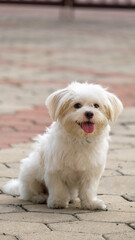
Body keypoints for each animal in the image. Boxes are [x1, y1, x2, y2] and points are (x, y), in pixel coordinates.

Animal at [2, 82, 123, 210]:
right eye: (77, 105)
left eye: (96, 105)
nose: (89, 113)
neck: (79, 139)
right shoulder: (54, 170)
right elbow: (58, 188)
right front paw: (57, 202)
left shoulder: (91, 171)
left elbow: (88, 189)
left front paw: (91, 203)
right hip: (31, 173)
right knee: (30, 192)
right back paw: (40, 197)